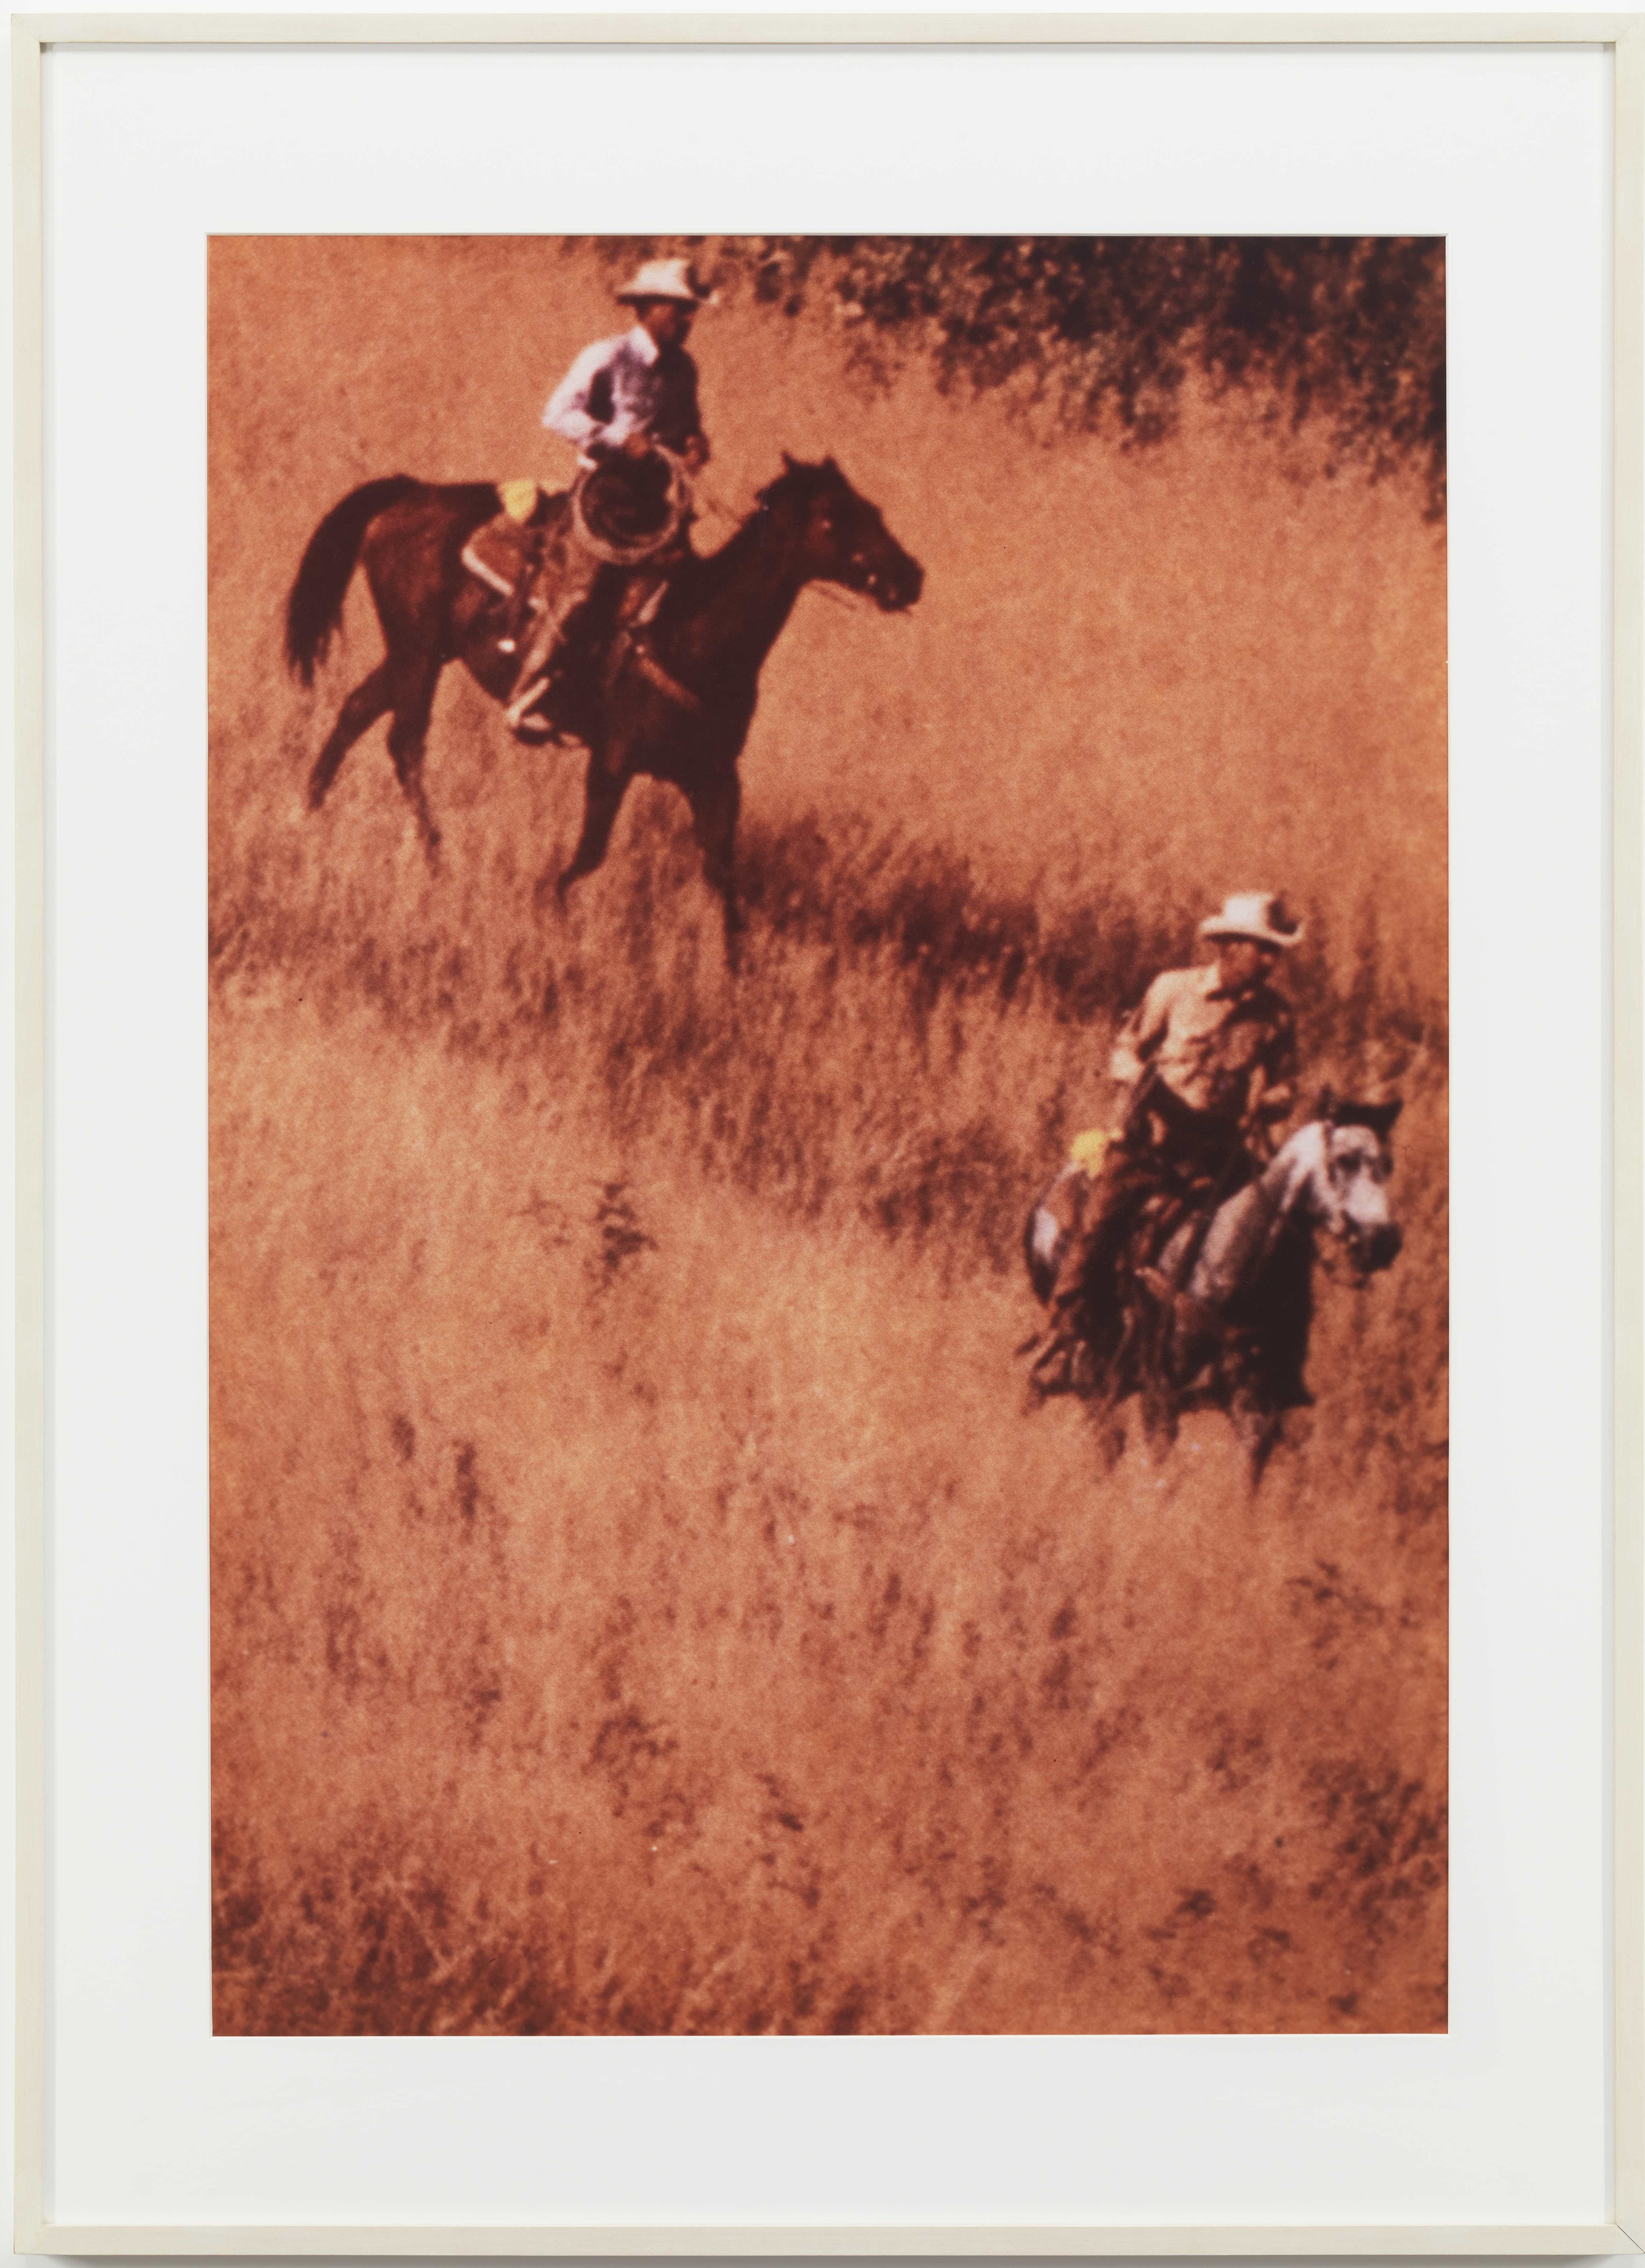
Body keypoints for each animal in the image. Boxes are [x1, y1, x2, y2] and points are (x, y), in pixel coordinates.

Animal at [283, 460, 925, 957]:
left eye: (872, 509)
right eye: (832, 517)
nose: (910, 577)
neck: (692, 633)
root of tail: (410, 492)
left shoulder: (716, 778)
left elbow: (724, 878)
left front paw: (736, 975)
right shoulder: (612, 763)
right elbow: (589, 856)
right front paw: (548, 910)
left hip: (420, 652)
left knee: (355, 712)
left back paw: (309, 812)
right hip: (417, 652)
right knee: (406, 744)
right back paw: (439, 862)